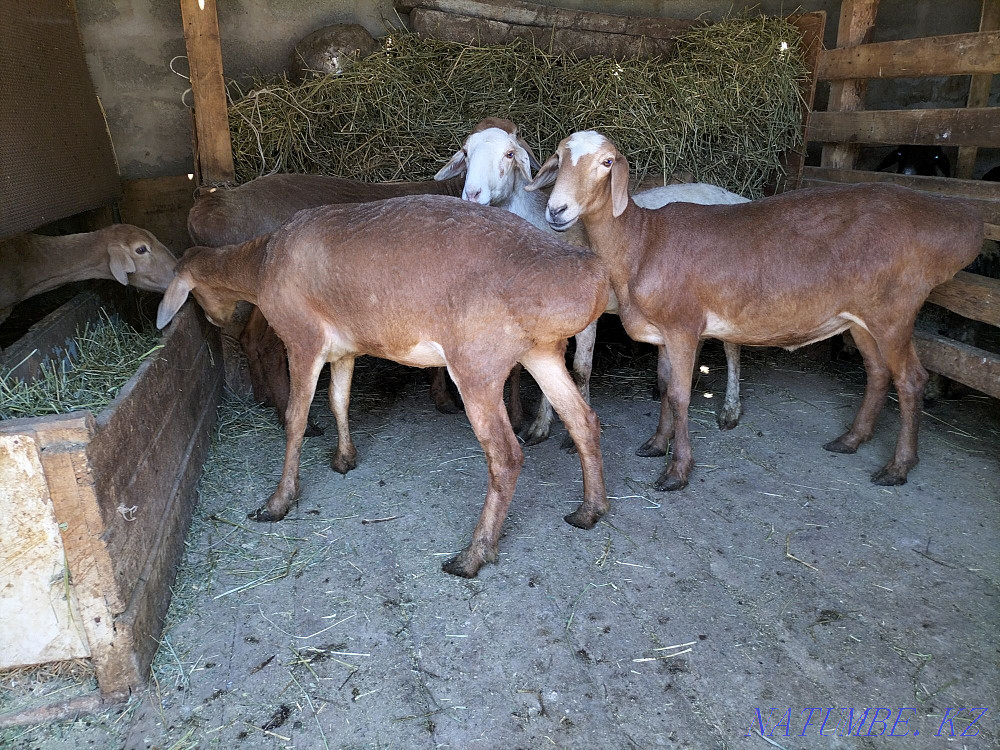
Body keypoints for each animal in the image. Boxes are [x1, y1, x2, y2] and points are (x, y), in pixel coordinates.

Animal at [435, 118, 748, 451]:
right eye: (465, 152)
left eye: (509, 154)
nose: (472, 195)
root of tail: (737, 197)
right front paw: (540, 427)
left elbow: (580, 370)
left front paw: (569, 436)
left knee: (732, 348)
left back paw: (730, 410)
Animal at [526, 130, 982, 490]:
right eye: (559, 156)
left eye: (606, 163)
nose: (557, 210)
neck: (642, 240)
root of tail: (962, 227)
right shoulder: (666, 332)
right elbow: (667, 387)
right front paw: (656, 445)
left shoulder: (683, 326)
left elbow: (679, 395)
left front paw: (677, 471)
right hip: (861, 318)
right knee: (877, 372)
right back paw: (851, 441)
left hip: (895, 312)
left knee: (911, 380)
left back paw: (898, 466)